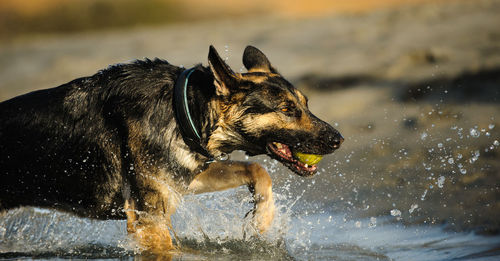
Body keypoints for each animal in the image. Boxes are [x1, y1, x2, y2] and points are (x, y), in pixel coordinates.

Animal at [0, 45, 344, 253]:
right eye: (287, 109)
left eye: (306, 104)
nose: (338, 139)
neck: (185, 109)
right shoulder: (149, 222)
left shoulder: (183, 180)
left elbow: (257, 169)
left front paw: (263, 218)